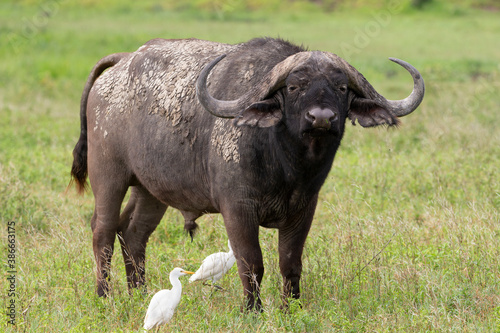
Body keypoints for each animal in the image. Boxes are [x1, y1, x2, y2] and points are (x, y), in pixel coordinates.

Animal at [70, 37, 422, 308]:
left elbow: (290, 262)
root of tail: (123, 61)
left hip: (150, 190)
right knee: (103, 230)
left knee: (133, 233)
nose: (321, 117)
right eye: (293, 87)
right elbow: (252, 262)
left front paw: (291, 308)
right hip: (109, 176)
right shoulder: (237, 208)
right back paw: (104, 296)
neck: (288, 165)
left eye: (341, 87)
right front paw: (253, 310)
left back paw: (140, 294)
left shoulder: (304, 209)